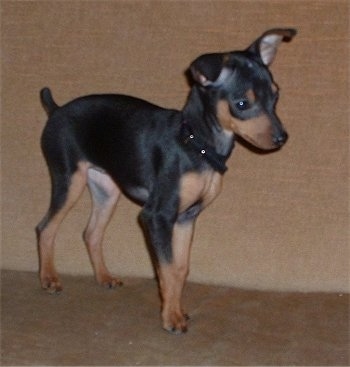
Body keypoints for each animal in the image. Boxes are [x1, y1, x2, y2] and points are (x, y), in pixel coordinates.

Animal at [37, 28, 296, 334]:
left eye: (276, 97)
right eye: (242, 104)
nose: (281, 138)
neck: (196, 144)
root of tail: (56, 109)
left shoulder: (186, 217)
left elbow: (181, 269)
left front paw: (177, 310)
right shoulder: (157, 216)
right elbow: (168, 268)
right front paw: (171, 317)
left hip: (105, 190)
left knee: (91, 233)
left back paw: (104, 277)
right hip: (69, 180)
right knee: (46, 228)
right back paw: (49, 279)